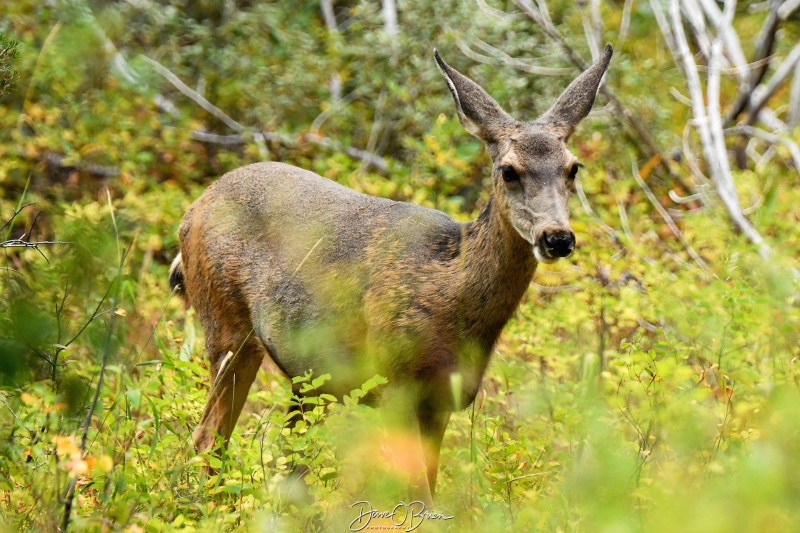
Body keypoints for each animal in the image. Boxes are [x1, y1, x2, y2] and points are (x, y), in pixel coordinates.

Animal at [172, 45, 612, 502]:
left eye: (573, 167)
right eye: (508, 170)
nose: (557, 237)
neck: (451, 292)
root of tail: (192, 211)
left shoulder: (442, 399)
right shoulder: (394, 383)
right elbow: (416, 492)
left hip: (307, 378)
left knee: (289, 458)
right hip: (228, 327)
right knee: (208, 436)